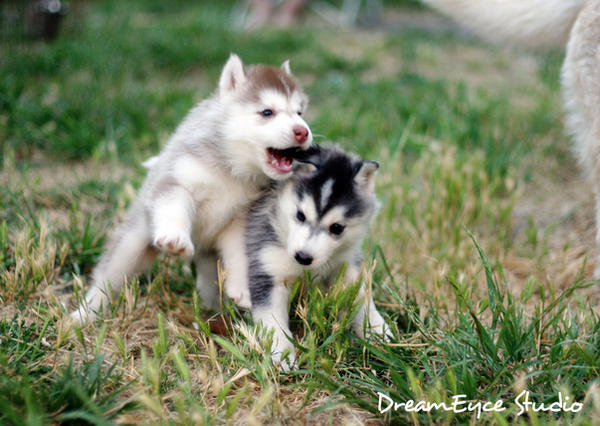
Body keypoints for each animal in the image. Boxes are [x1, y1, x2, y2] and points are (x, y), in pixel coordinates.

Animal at [71, 53, 312, 322]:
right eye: (267, 112)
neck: (231, 170)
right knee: (108, 274)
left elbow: (240, 251)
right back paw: (84, 314)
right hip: (133, 241)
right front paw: (175, 238)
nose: (302, 132)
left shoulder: (244, 217)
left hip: (206, 255)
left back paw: (211, 308)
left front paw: (242, 288)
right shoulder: (177, 180)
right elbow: (174, 206)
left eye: (299, 112)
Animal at [220, 146, 394, 370]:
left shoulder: (347, 265)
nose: (302, 257)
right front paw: (282, 353)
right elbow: (272, 319)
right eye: (300, 215)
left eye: (337, 228)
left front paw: (377, 329)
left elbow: (360, 297)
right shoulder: (267, 268)